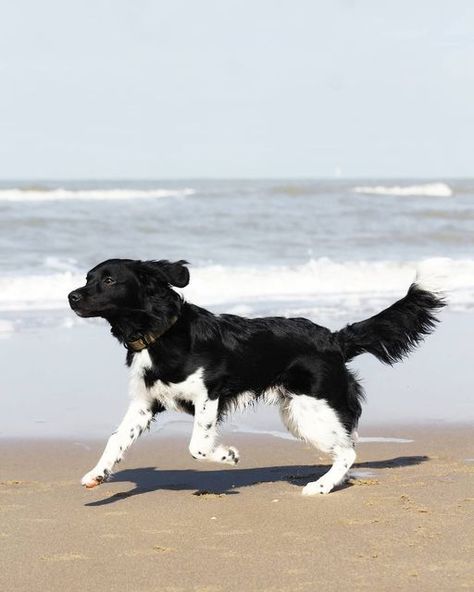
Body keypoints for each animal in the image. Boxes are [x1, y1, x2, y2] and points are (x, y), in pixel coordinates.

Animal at [68, 260, 446, 494]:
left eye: (109, 280)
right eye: (87, 278)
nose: (71, 296)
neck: (159, 333)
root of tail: (334, 338)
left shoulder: (209, 394)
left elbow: (198, 446)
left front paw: (227, 456)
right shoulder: (145, 403)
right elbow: (116, 440)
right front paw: (97, 474)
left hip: (311, 409)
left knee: (348, 451)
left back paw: (321, 486)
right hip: (299, 412)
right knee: (346, 447)